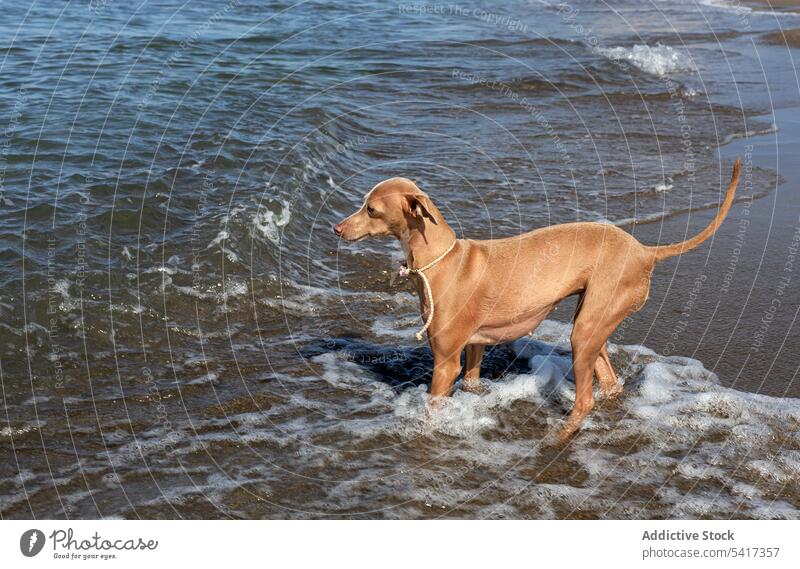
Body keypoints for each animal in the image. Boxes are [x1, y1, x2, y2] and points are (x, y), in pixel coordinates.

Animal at [334, 160, 740, 440]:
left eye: (371, 209)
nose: (336, 228)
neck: (445, 259)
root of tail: (645, 251)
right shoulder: (475, 348)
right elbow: (473, 384)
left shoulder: (446, 361)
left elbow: (433, 410)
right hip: (594, 323)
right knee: (610, 384)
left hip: (585, 332)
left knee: (586, 400)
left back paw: (558, 438)